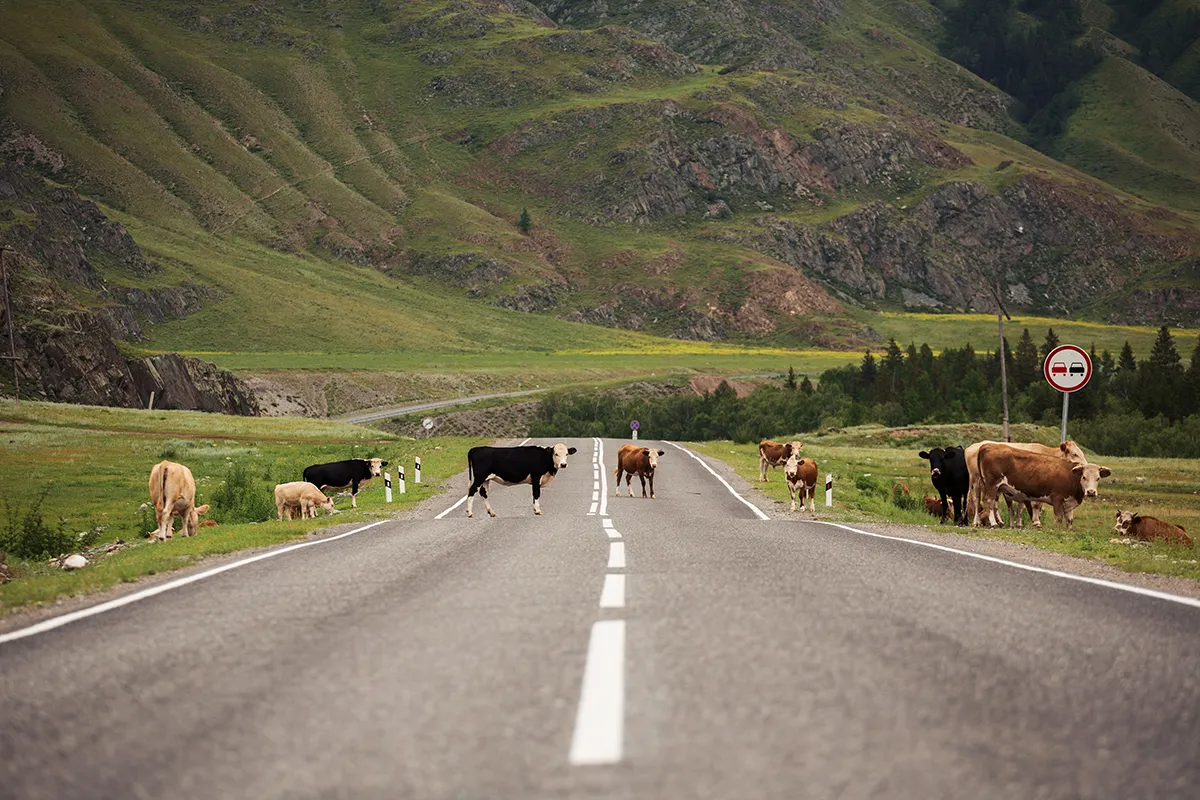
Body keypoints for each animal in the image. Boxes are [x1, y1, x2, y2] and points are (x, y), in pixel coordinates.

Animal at [979, 443, 1108, 532]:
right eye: (1084, 477)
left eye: (1098, 478)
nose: (1091, 492)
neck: (1070, 475)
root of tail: (988, 445)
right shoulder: (1057, 498)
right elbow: (1058, 518)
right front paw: (1056, 530)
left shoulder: (1069, 503)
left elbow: (1069, 520)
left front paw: (1069, 530)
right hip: (992, 485)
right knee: (988, 501)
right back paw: (994, 523)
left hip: (997, 488)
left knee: (993, 504)